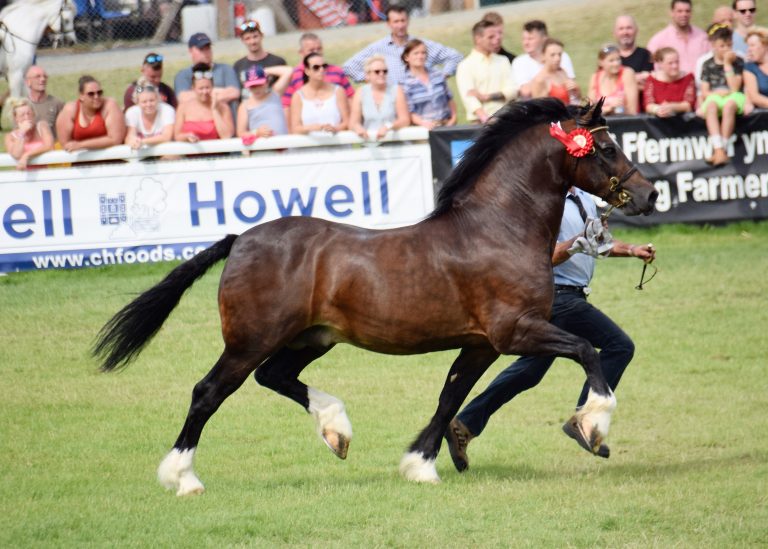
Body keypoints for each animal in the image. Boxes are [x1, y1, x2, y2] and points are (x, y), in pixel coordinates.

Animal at [94, 99, 660, 496]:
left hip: (312, 338)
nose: (650, 194)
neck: (497, 229)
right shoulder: (515, 331)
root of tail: (241, 239)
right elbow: (587, 354)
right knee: (208, 393)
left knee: (275, 377)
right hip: (250, 340)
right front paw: (591, 427)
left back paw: (335, 429)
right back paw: (184, 478)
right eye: (606, 149)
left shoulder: (481, 343)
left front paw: (421, 466)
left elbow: (450, 396)